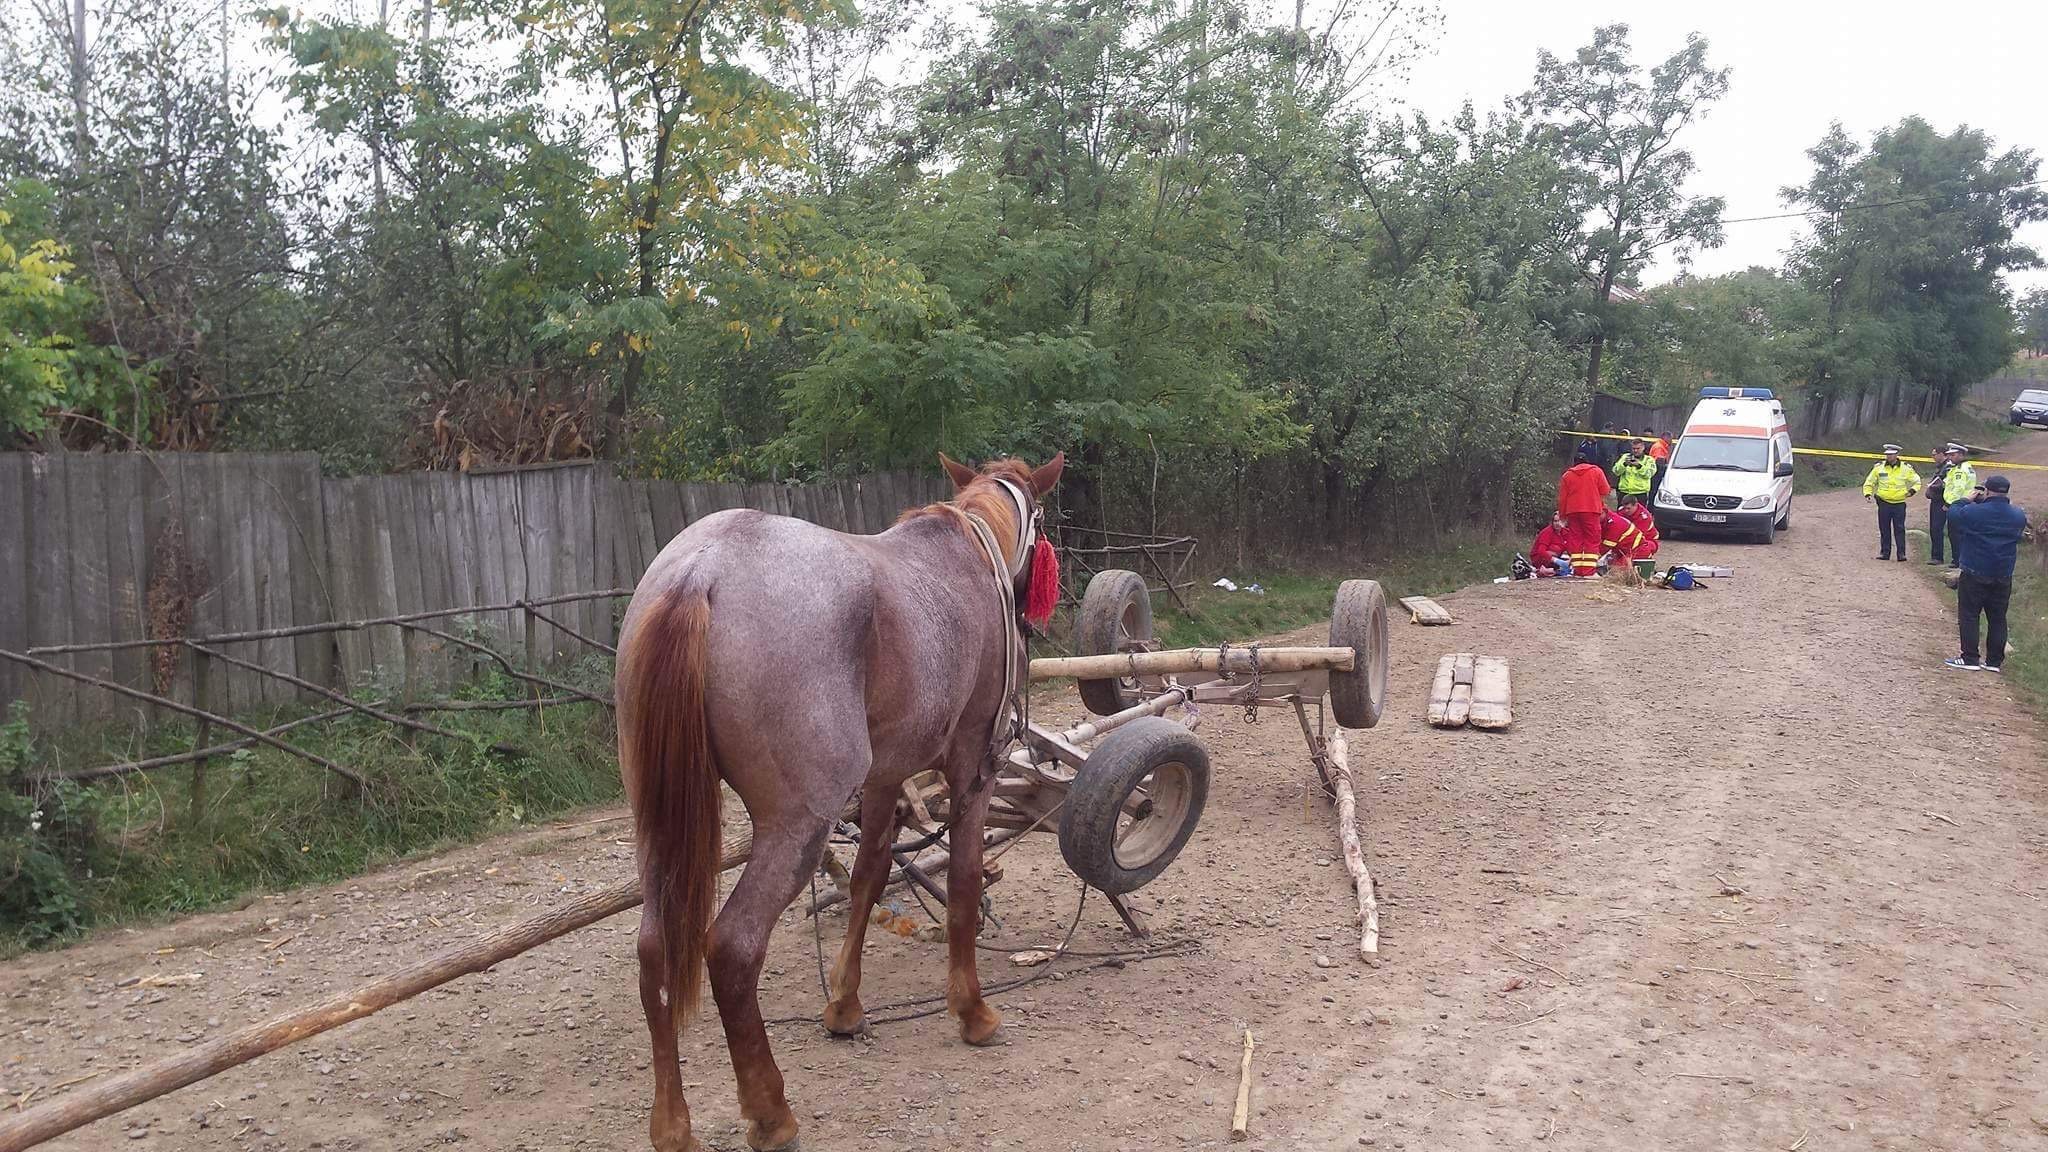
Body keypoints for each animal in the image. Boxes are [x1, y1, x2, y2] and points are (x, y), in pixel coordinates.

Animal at [610, 448, 1064, 1147]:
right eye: (1042, 524)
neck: (966, 555)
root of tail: (701, 570)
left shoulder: (884, 779)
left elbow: (868, 877)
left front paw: (844, 1006)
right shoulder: (973, 767)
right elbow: (962, 883)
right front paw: (972, 1011)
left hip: (658, 830)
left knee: (655, 949)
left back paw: (672, 1125)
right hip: (799, 824)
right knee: (733, 948)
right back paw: (771, 1112)